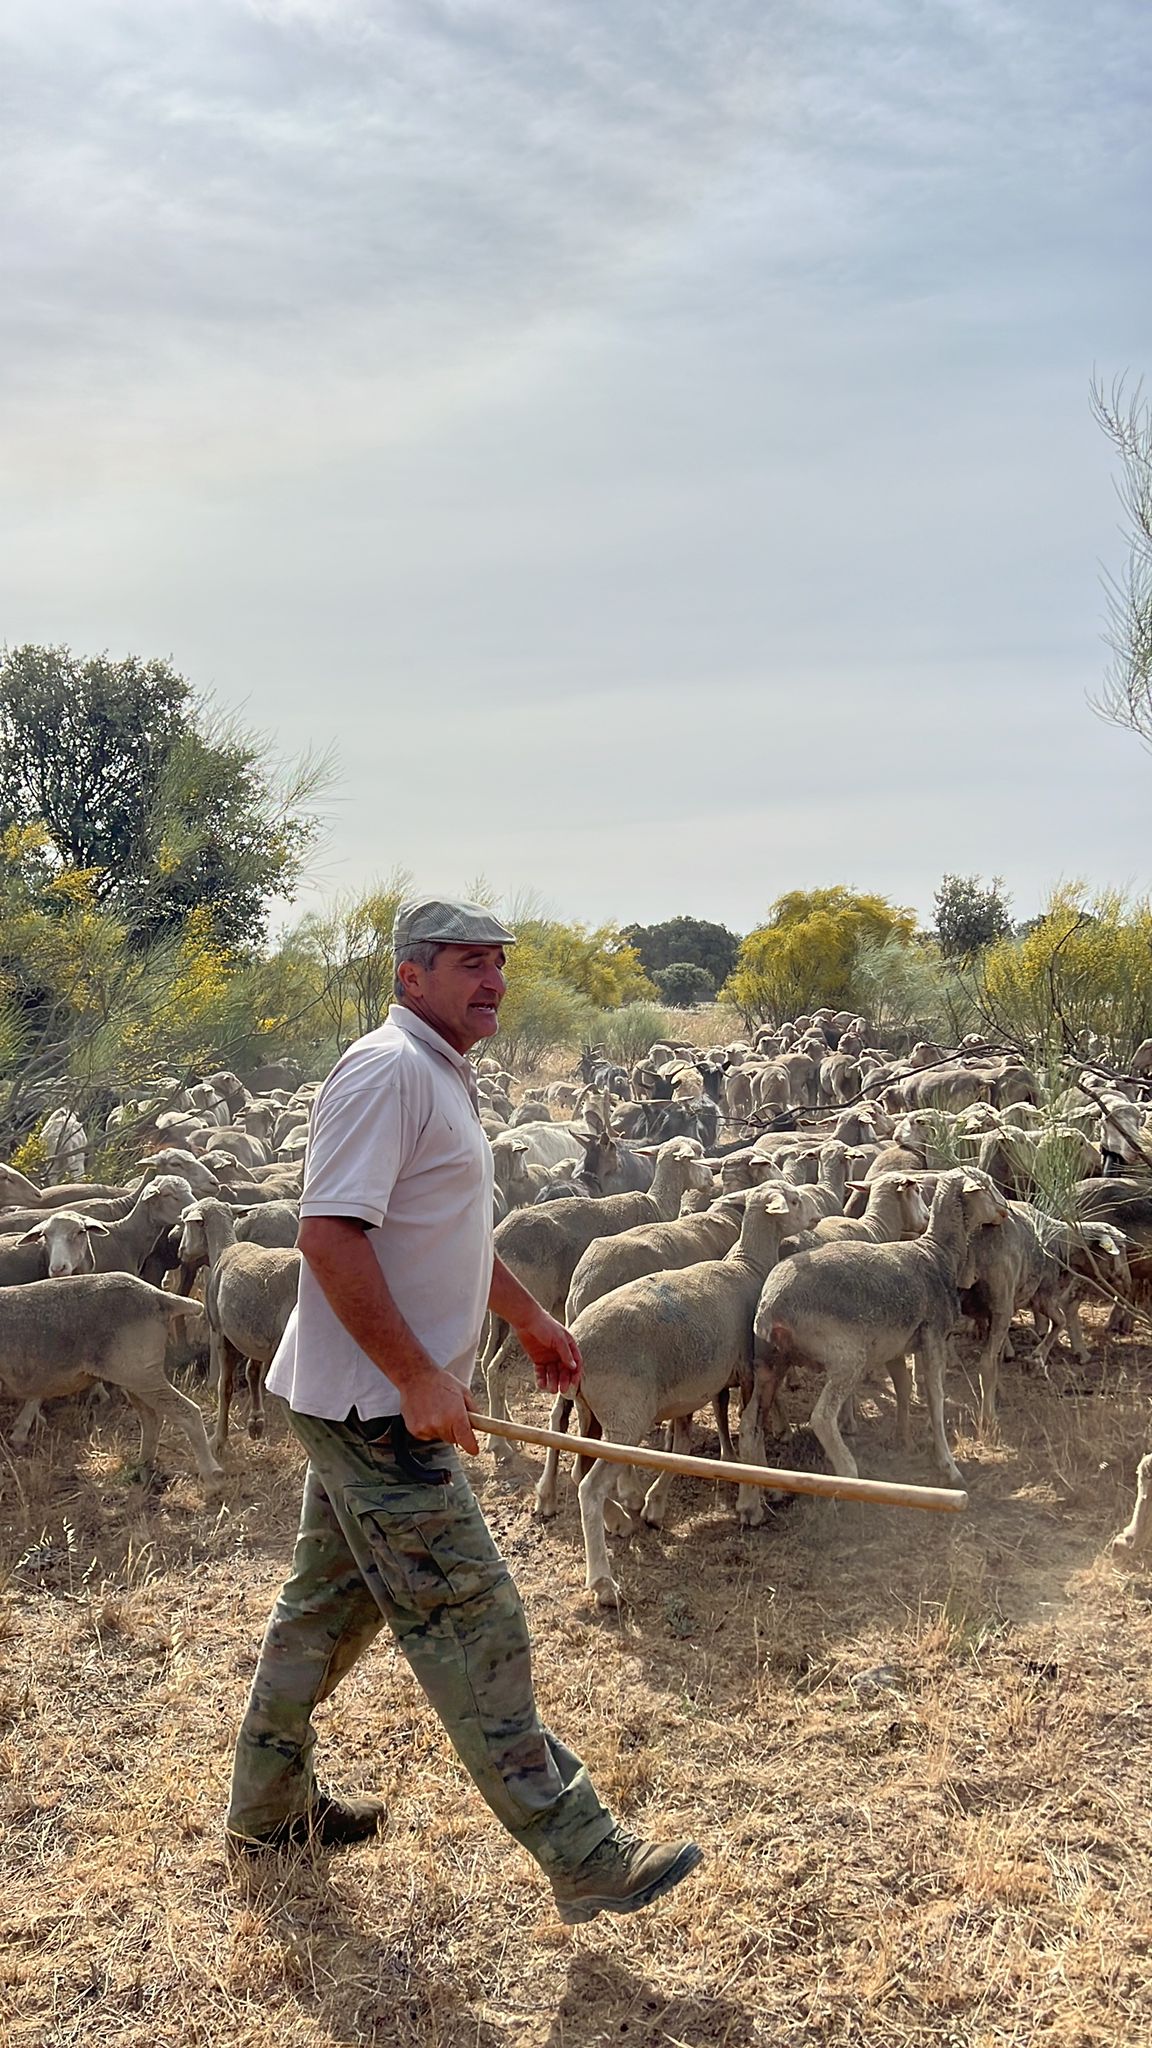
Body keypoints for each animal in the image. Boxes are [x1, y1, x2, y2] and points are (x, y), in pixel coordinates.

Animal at [0, 1269, 220, 1482]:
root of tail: (158, 1297)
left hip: (141, 1374)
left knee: (188, 1412)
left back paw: (212, 1476)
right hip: (134, 1377)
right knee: (152, 1418)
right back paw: (142, 1466)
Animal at [537, 1196, 799, 1605]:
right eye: (796, 1200)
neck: (747, 1266)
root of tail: (577, 1338)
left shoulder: (693, 1385)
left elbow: (686, 1442)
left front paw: (659, 1502)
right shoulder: (749, 1371)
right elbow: (750, 1427)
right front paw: (756, 1497)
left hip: (592, 1409)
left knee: (577, 1464)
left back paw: (615, 1519)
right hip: (625, 1414)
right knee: (589, 1487)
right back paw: (603, 1581)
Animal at [746, 1171, 1004, 1507]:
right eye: (986, 1186)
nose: (1005, 1211)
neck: (939, 1254)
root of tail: (769, 1308)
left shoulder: (895, 1346)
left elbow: (903, 1388)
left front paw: (903, 1439)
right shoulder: (933, 1337)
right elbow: (935, 1398)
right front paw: (948, 1466)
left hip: (770, 1362)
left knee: (749, 1423)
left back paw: (760, 1490)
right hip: (846, 1357)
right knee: (821, 1417)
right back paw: (848, 1475)